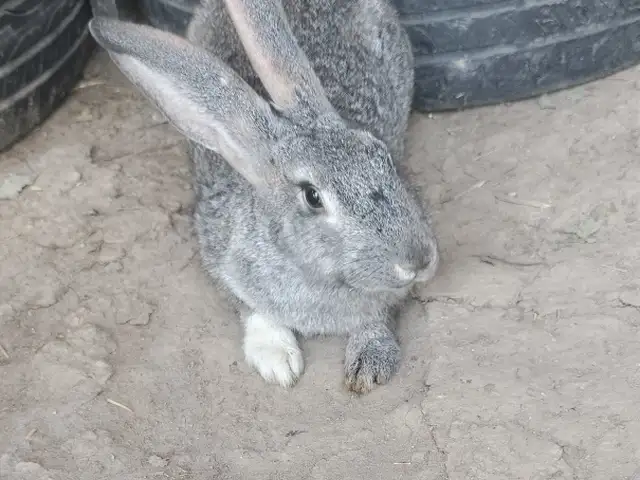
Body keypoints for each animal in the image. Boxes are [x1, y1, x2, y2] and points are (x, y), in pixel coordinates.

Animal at [88, 0, 439, 394]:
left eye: (381, 154)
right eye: (312, 196)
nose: (419, 260)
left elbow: (380, 317)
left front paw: (369, 361)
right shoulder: (222, 264)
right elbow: (253, 310)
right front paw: (277, 361)